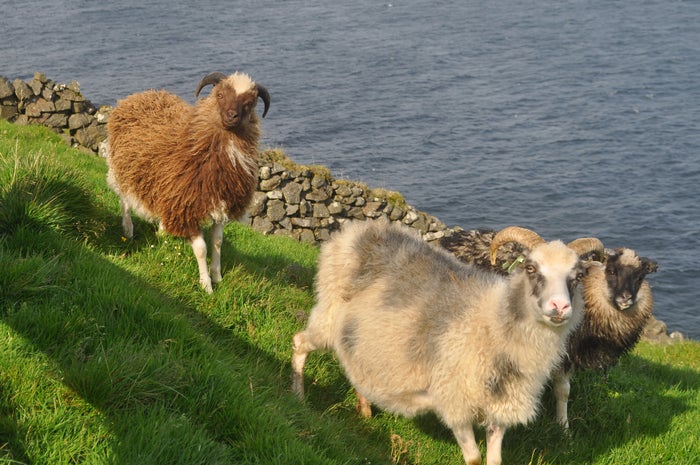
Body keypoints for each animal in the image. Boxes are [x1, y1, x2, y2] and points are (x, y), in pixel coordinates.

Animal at [106, 71, 270, 293]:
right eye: (219, 95)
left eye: (250, 103)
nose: (231, 116)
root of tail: (141, 95)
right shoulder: (187, 208)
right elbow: (201, 249)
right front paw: (206, 285)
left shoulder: (219, 206)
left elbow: (217, 242)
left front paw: (217, 276)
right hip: (122, 168)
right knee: (124, 199)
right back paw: (128, 229)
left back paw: (162, 231)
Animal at [291, 221, 602, 465]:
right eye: (530, 268)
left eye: (577, 276)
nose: (560, 307)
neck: (493, 324)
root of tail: (357, 229)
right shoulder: (455, 401)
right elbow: (474, 458)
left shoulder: (500, 407)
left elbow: (495, 459)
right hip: (328, 317)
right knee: (299, 342)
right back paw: (298, 398)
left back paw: (364, 409)